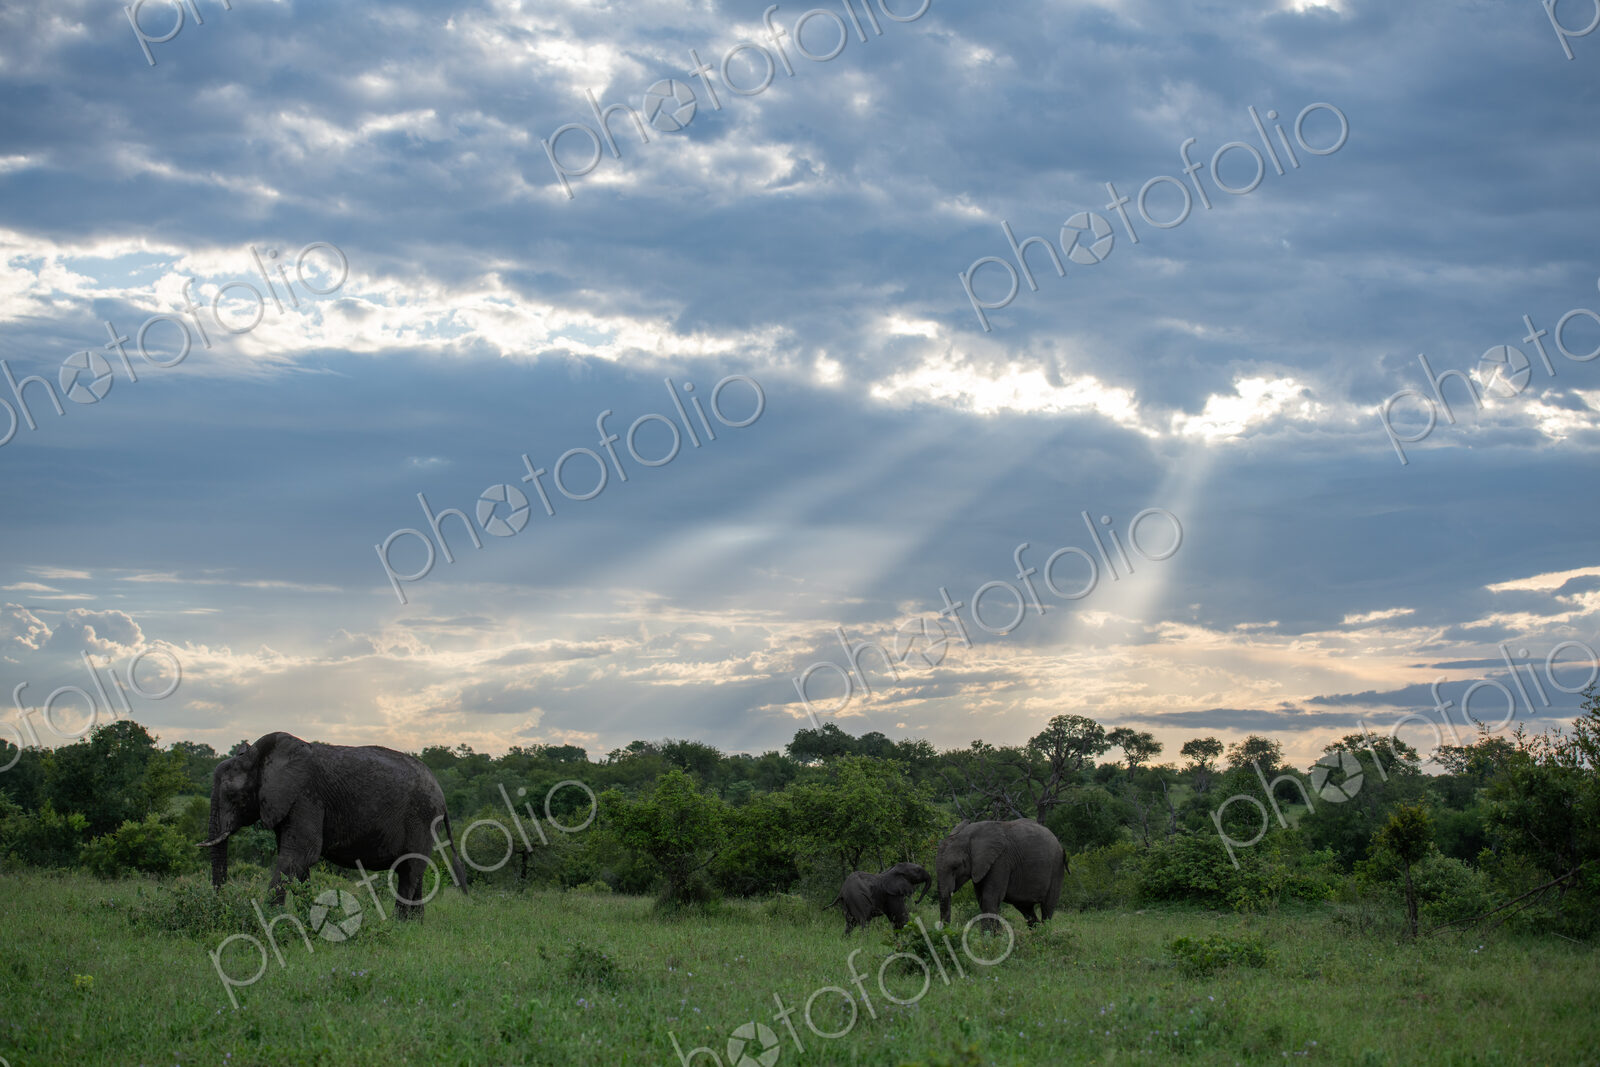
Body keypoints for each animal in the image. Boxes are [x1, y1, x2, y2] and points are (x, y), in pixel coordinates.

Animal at [199, 732, 467, 918]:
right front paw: (307, 919)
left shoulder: (305, 797)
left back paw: (398, 924)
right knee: (413, 869)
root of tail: (442, 795)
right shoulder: (290, 803)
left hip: (421, 816)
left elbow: (300, 854)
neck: (260, 756)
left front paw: (269, 919)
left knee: (410, 869)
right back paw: (414, 925)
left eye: (233, 796)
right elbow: (299, 862)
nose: (221, 903)